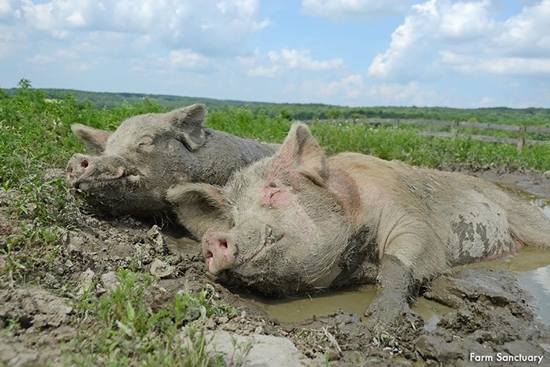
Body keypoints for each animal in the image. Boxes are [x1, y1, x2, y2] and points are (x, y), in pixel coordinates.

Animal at [167, 123, 550, 324]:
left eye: (274, 192)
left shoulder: (410, 215)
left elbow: (404, 256)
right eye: (233, 218)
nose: (214, 239)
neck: (357, 257)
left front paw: (380, 319)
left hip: (525, 216)